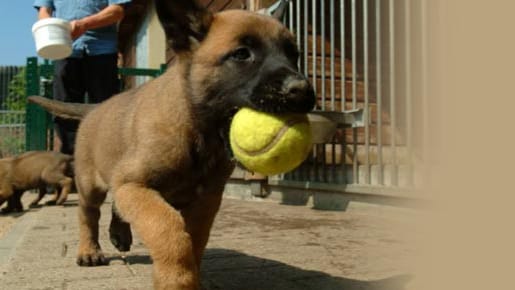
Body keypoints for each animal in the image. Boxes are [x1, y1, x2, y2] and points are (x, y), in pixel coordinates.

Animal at [29, 1, 318, 288]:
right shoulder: (137, 186)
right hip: (91, 185)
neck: (198, 131)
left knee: (116, 206)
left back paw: (119, 235)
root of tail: (95, 108)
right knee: (88, 215)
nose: (301, 90)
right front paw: (176, 279)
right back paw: (89, 251)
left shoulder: (205, 201)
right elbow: (169, 229)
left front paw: (193, 276)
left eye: (294, 54)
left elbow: (196, 241)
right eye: (241, 54)